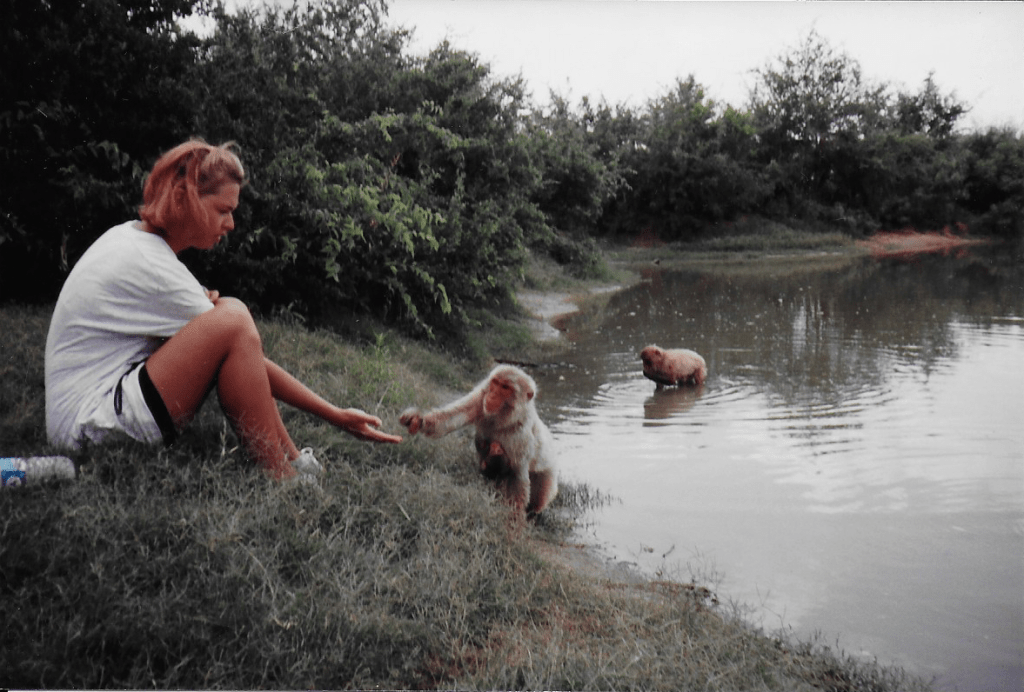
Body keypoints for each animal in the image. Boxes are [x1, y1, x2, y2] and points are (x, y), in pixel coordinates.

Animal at [400, 364, 558, 517]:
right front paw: (417, 420)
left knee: (538, 493)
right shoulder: (479, 399)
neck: (504, 418)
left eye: (505, 387)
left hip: (547, 475)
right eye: (495, 383)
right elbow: (448, 420)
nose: (492, 395)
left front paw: (515, 519)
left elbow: (517, 478)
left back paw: (534, 510)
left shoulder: (521, 437)